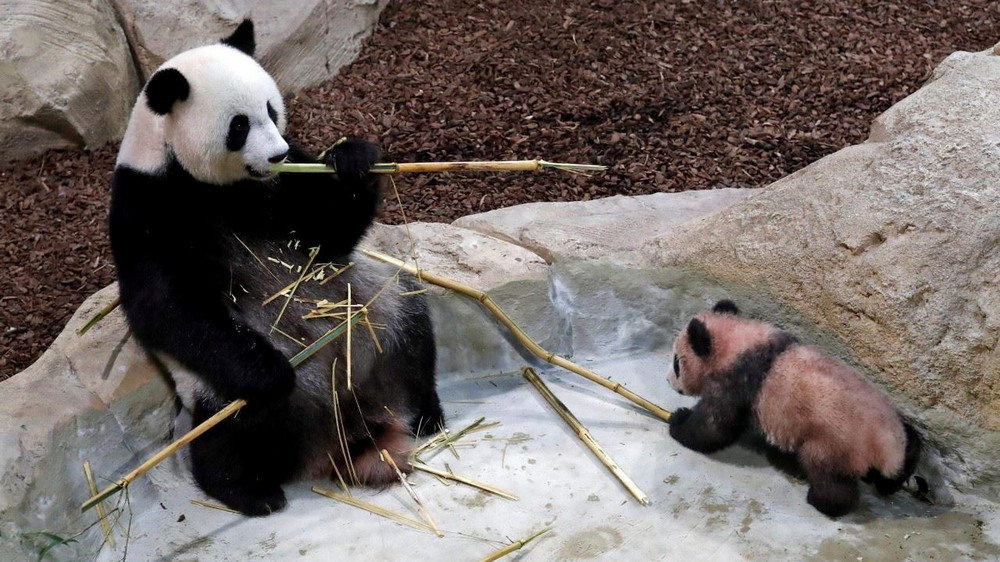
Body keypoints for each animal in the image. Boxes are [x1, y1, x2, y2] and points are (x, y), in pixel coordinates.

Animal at [107, 19, 444, 516]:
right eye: (238, 125)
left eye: (271, 108)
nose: (277, 154)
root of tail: (344, 424)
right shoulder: (147, 205)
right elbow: (165, 304)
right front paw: (270, 373)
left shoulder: (282, 186)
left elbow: (326, 236)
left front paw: (354, 159)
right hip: (217, 388)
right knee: (230, 431)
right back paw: (249, 489)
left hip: (375, 318)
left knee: (409, 326)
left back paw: (426, 413)